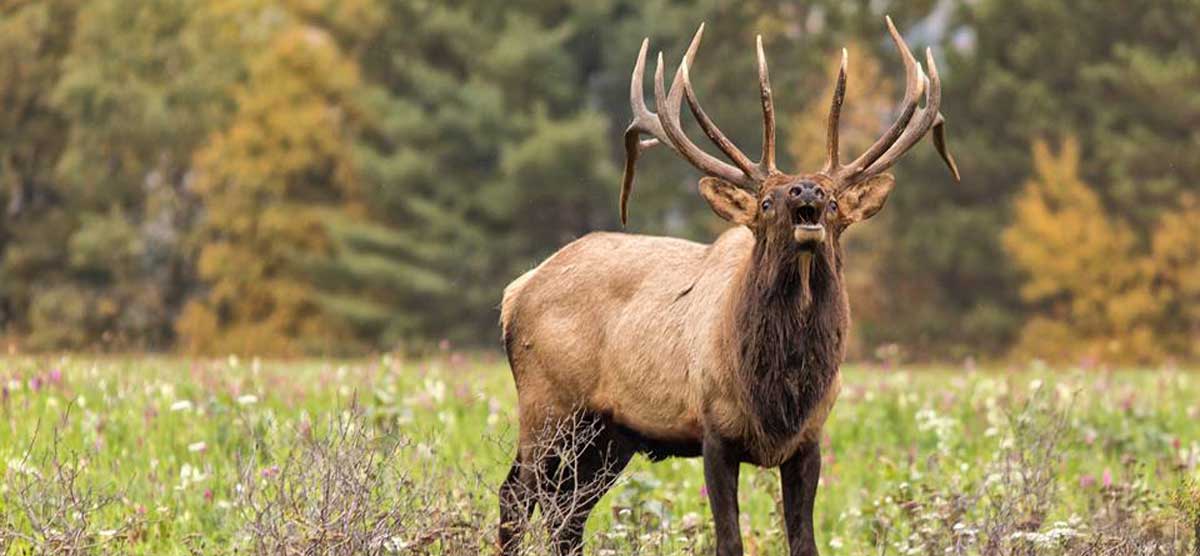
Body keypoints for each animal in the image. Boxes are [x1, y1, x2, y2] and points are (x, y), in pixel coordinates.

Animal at [497, 17, 959, 556]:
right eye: (766, 202)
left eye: (835, 203)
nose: (806, 191)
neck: (779, 394)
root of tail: (517, 290)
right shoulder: (714, 432)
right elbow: (729, 541)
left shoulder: (809, 440)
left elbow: (805, 542)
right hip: (546, 408)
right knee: (517, 496)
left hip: (607, 436)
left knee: (567, 516)